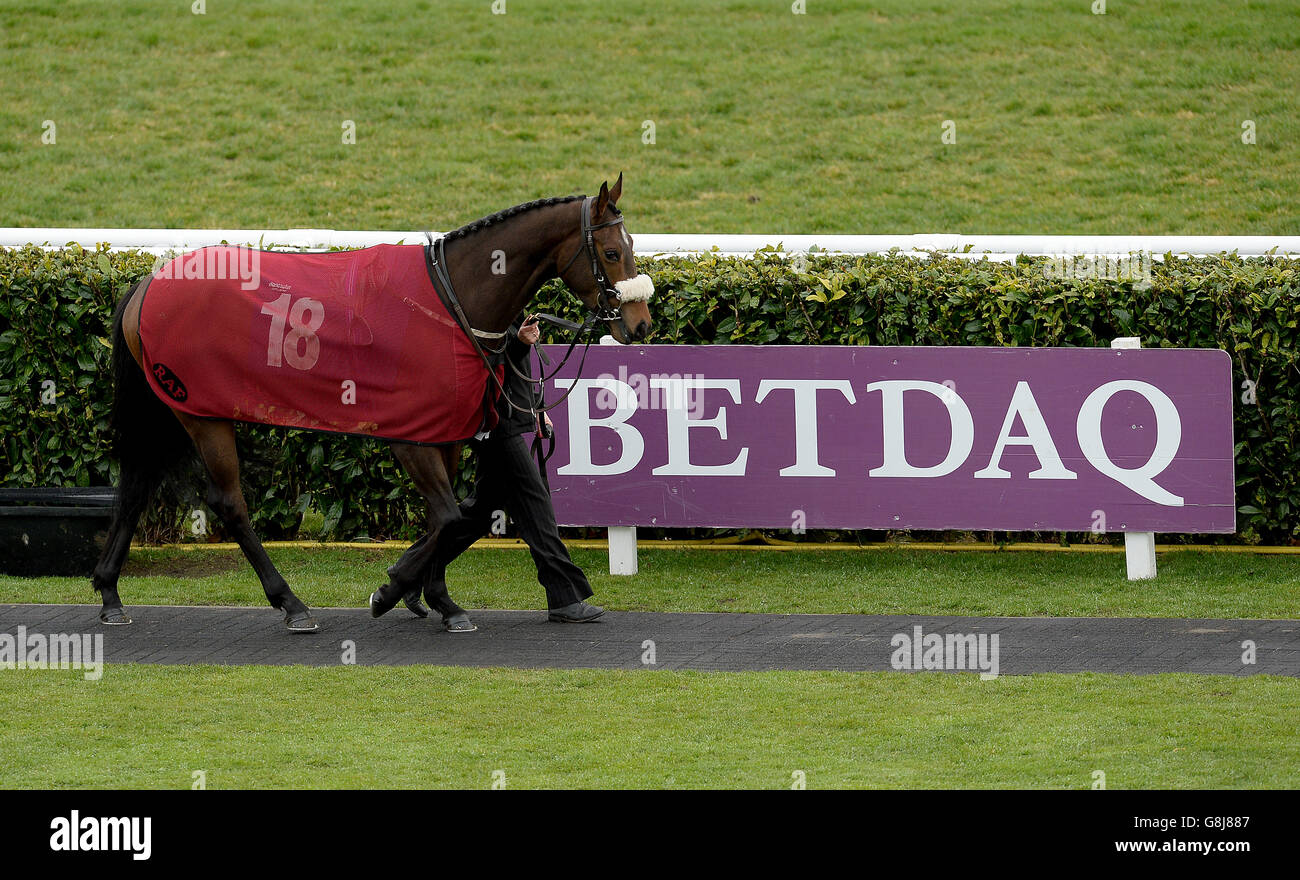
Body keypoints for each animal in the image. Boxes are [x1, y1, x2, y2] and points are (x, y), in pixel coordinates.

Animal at [94, 176, 650, 631]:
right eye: (611, 252)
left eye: (631, 246)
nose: (640, 323)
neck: (453, 297)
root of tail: (148, 282)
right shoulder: (411, 438)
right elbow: (449, 516)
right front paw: (392, 590)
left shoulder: (444, 430)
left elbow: (447, 516)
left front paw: (439, 600)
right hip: (200, 412)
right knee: (229, 502)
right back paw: (291, 604)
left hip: (172, 408)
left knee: (137, 485)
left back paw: (109, 593)